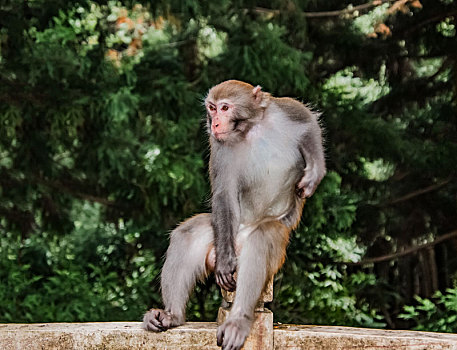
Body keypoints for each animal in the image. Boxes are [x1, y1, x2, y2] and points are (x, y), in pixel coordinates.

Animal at [142, 80, 324, 350]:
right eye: (212, 108)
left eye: (225, 108)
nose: (215, 123)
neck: (250, 130)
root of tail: (239, 240)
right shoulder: (220, 147)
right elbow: (224, 195)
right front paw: (225, 262)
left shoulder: (281, 111)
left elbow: (308, 120)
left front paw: (315, 172)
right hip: (223, 235)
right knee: (187, 234)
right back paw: (172, 315)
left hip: (276, 244)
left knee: (261, 240)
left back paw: (238, 321)